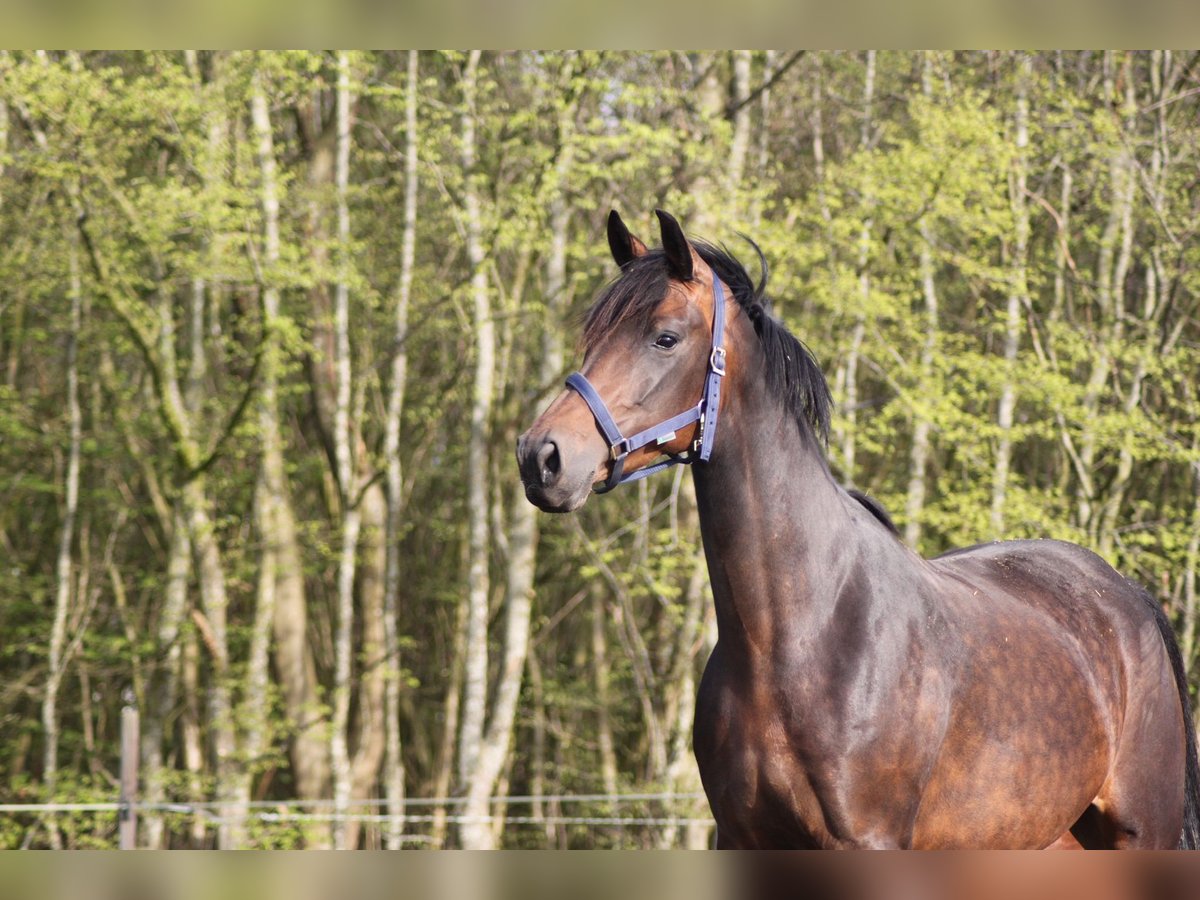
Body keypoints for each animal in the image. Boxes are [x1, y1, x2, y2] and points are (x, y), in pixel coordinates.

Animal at [516, 207, 1200, 849]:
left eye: (664, 337)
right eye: (592, 336)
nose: (541, 456)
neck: (799, 635)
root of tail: (1128, 597)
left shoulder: (868, 840)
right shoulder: (740, 837)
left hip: (1139, 834)